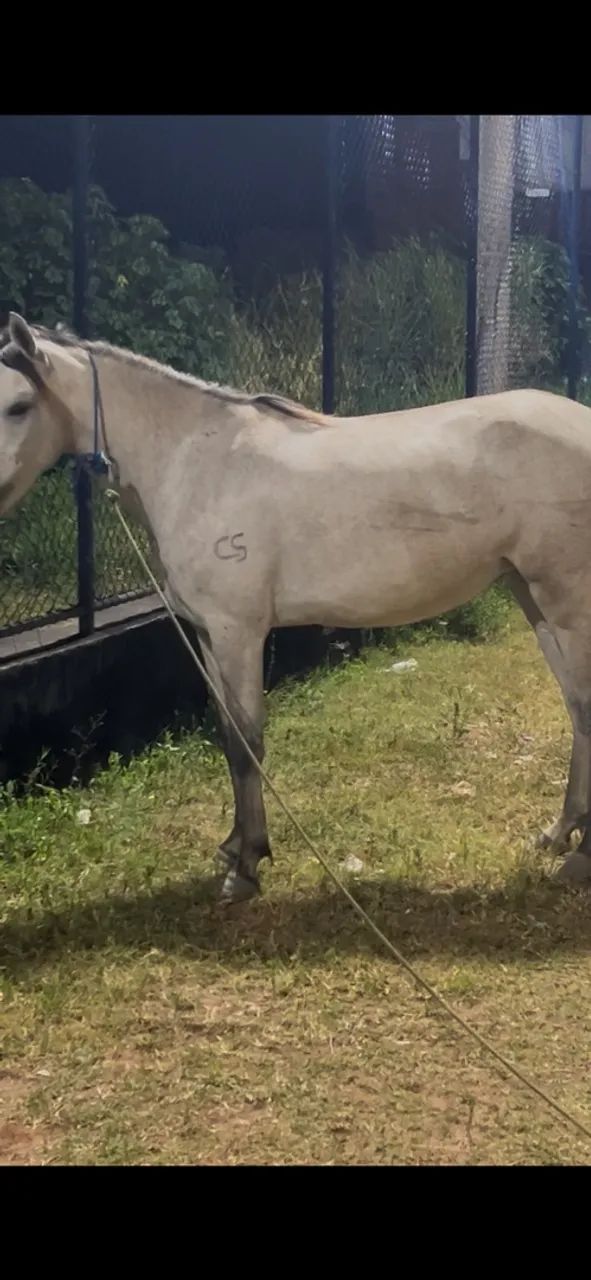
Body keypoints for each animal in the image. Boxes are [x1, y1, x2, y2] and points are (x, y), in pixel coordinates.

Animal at [2, 310, 591, 903]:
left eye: (19, 405)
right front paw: (236, 847)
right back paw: (558, 833)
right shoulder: (209, 635)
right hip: (532, 599)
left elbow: (247, 742)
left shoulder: (238, 632)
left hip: (566, 602)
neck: (194, 461)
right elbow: (228, 736)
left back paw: (578, 856)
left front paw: (245, 869)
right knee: (575, 707)